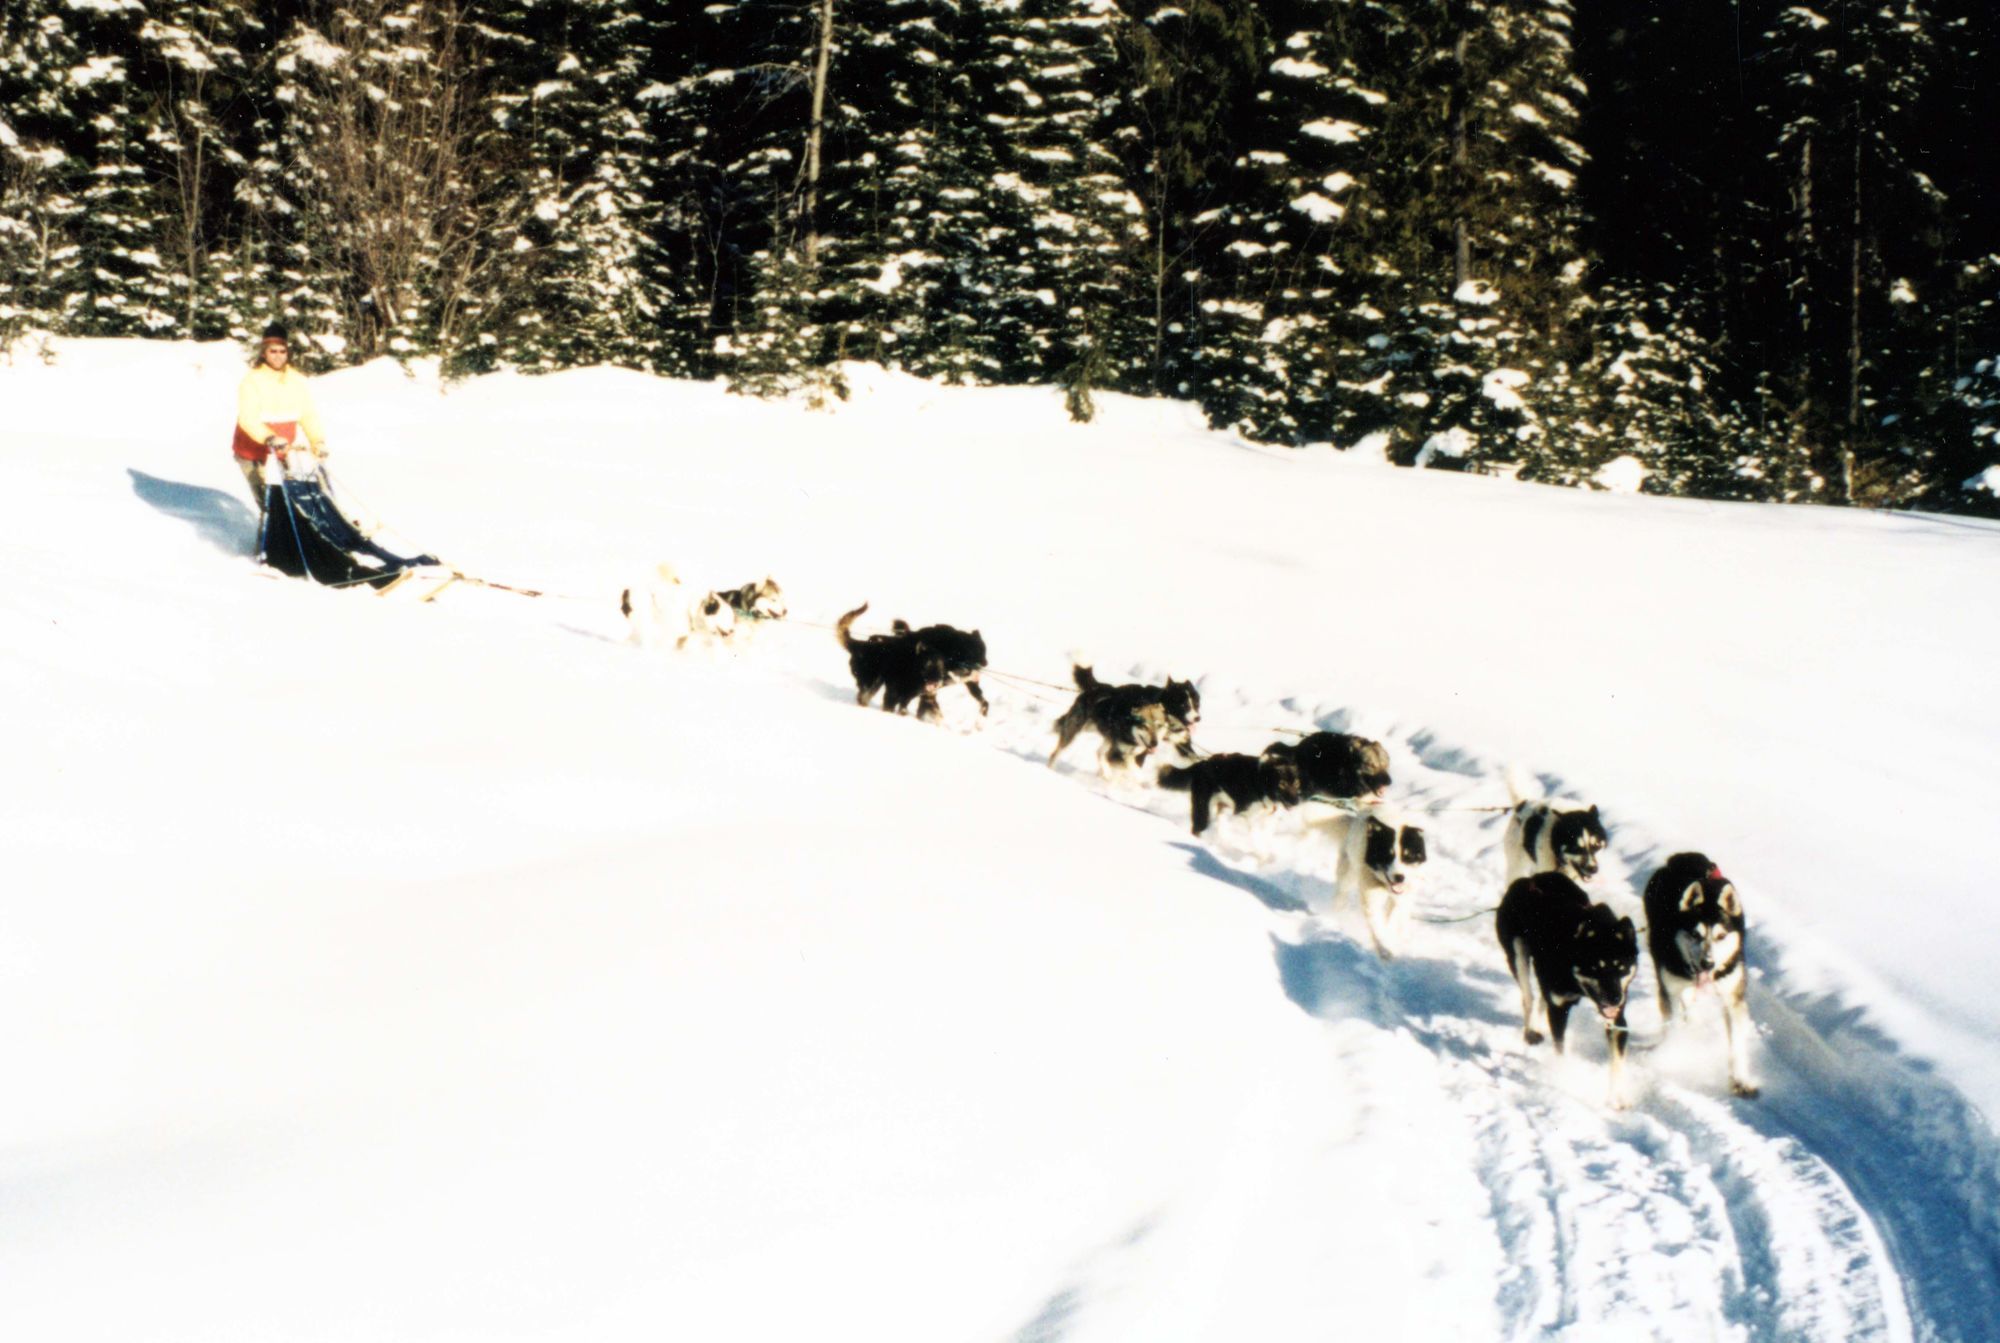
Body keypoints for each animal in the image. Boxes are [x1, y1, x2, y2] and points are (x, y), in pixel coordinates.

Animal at [1320, 807, 1432, 955]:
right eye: (1387, 856)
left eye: (1408, 857)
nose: (1399, 877)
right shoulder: (1371, 896)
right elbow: (1376, 923)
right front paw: (1384, 948)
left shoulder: (1403, 896)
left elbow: (1393, 916)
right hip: (1348, 875)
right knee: (1341, 894)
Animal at [1504, 871, 1640, 1111]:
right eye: (1596, 968)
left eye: (1621, 968)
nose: (1615, 998)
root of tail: (1530, 879)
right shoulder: (1559, 1009)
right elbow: (1560, 1048)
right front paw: (1563, 1081)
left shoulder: (1618, 1019)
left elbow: (1617, 1061)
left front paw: (1618, 1097)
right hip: (1518, 955)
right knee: (1529, 997)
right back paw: (1530, 1031)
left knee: (1541, 999)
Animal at [1648, 855, 1760, 1095]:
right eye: (1694, 934)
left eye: (1721, 936)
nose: (1707, 963)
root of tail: (1683, 856)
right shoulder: (1671, 990)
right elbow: (1674, 1020)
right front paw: (1670, 1054)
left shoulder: (1732, 999)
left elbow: (1737, 1043)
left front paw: (1741, 1078)